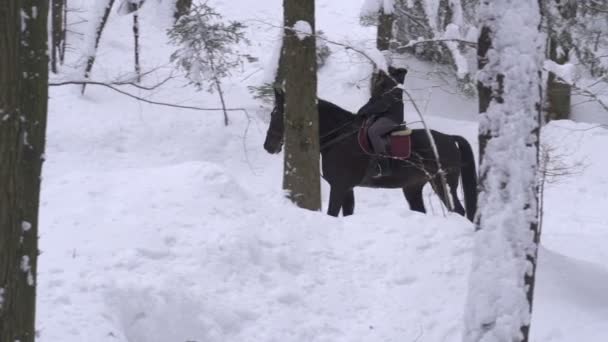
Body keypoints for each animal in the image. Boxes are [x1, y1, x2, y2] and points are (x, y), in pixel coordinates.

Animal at [264, 88, 478, 223]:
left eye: (276, 114)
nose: (268, 146)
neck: (339, 137)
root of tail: (450, 138)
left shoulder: (339, 186)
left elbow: (332, 213)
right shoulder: (347, 188)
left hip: (443, 182)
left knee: (458, 210)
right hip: (413, 187)